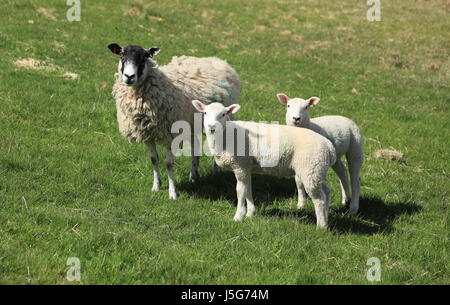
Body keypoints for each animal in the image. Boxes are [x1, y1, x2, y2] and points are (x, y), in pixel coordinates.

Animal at [107, 43, 241, 200]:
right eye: (121, 56)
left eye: (144, 58)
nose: (129, 77)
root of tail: (218, 60)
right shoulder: (147, 133)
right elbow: (153, 159)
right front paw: (156, 186)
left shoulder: (169, 134)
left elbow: (169, 164)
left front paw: (172, 193)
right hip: (191, 122)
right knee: (195, 148)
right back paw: (193, 176)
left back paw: (215, 172)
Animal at [192, 98, 336, 227]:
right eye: (205, 113)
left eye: (223, 114)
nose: (211, 127)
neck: (226, 136)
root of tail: (329, 146)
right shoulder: (247, 166)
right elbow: (248, 189)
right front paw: (250, 213)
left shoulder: (240, 165)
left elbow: (240, 191)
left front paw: (238, 216)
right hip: (316, 169)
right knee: (326, 191)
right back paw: (326, 221)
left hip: (309, 167)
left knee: (319, 200)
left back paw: (320, 227)